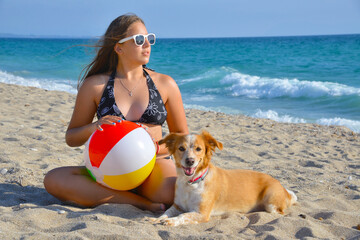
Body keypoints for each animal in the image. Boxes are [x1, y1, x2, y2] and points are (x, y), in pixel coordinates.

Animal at [150, 130, 296, 226]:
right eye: (181, 148)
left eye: (198, 149)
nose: (190, 161)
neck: (191, 183)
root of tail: (284, 190)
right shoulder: (178, 205)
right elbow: (167, 211)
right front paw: (158, 218)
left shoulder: (202, 213)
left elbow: (183, 216)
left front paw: (170, 221)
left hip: (271, 202)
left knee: (280, 213)